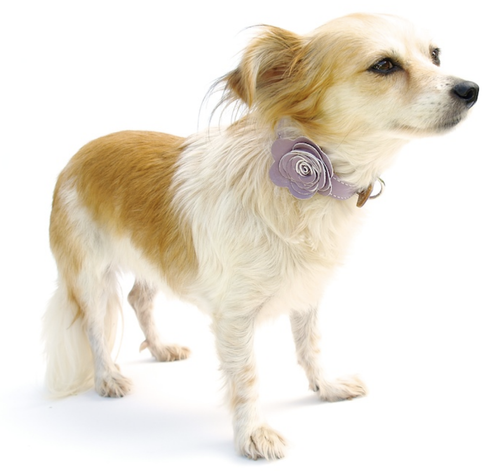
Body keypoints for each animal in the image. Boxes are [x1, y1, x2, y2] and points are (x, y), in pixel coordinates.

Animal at [43, 13, 478, 460]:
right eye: (384, 65)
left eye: (435, 55)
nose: (471, 89)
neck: (311, 194)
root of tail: (77, 156)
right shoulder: (235, 318)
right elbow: (246, 377)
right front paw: (252, 434)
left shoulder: (307, 293)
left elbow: (310, 345)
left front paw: (325, 387)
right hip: (91, 277)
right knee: (96, 328)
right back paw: (107, 377)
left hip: (152, 257)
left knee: (138, 298)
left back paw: (161, 348)